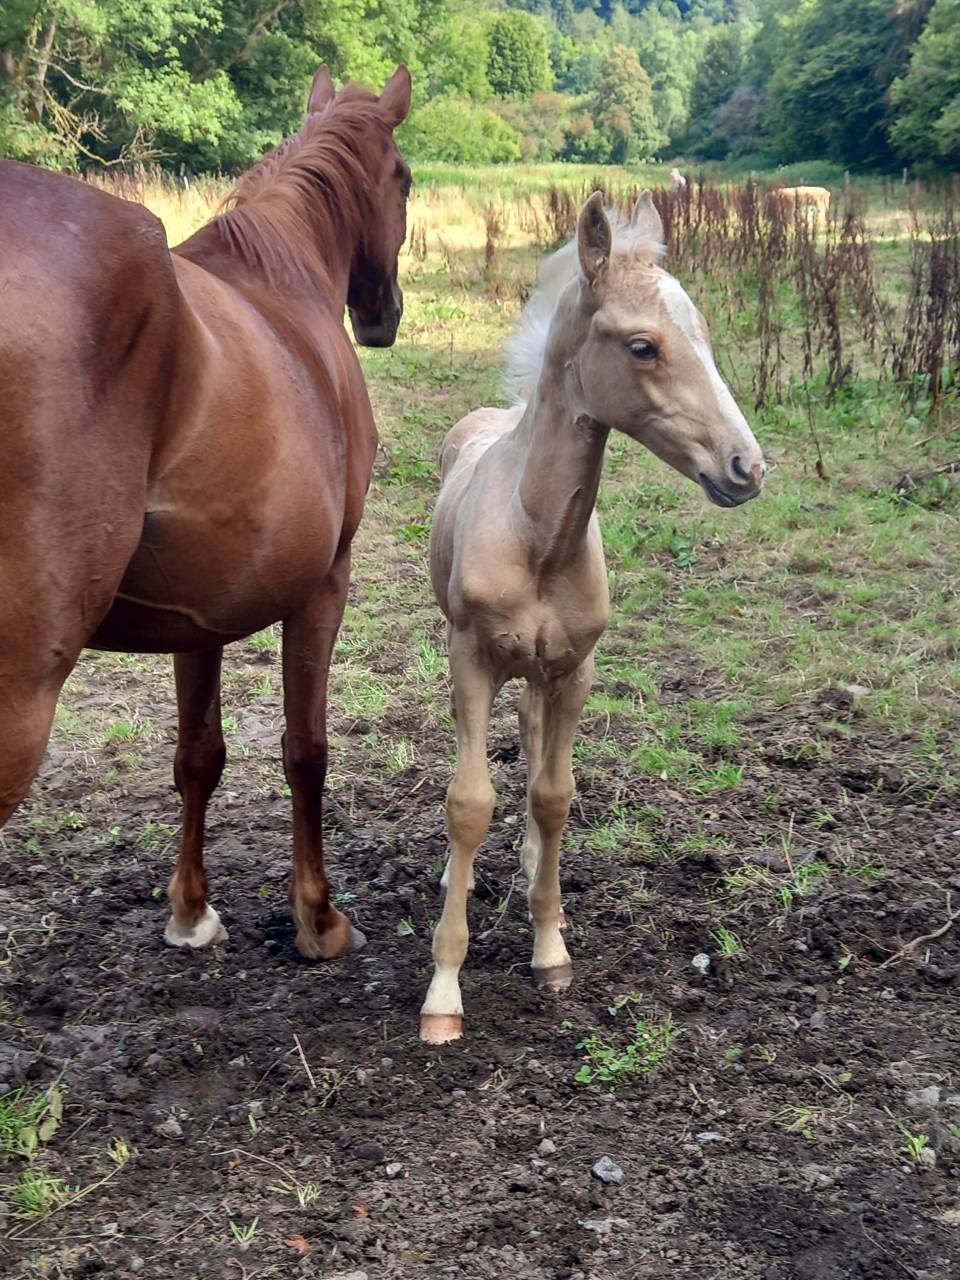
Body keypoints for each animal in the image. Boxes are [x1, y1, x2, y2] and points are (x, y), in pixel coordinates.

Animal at [0, 65, 412, 962]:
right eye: (403, 178)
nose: (385, 315)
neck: (285, 285)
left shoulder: (199, 614)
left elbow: (199, 755)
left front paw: (189, 911)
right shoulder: (325, 583)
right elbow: (305, 749)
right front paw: (318, 918)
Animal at [419, 191, 766, 1044]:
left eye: (704, 334)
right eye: (643, 346)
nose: (747, 467)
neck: (538, 538)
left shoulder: (576, 669)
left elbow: (554, 794)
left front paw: (550, 947)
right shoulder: (471, 659)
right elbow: (467, 802)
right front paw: (443, 993)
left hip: (542, 670)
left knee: (532, 738)